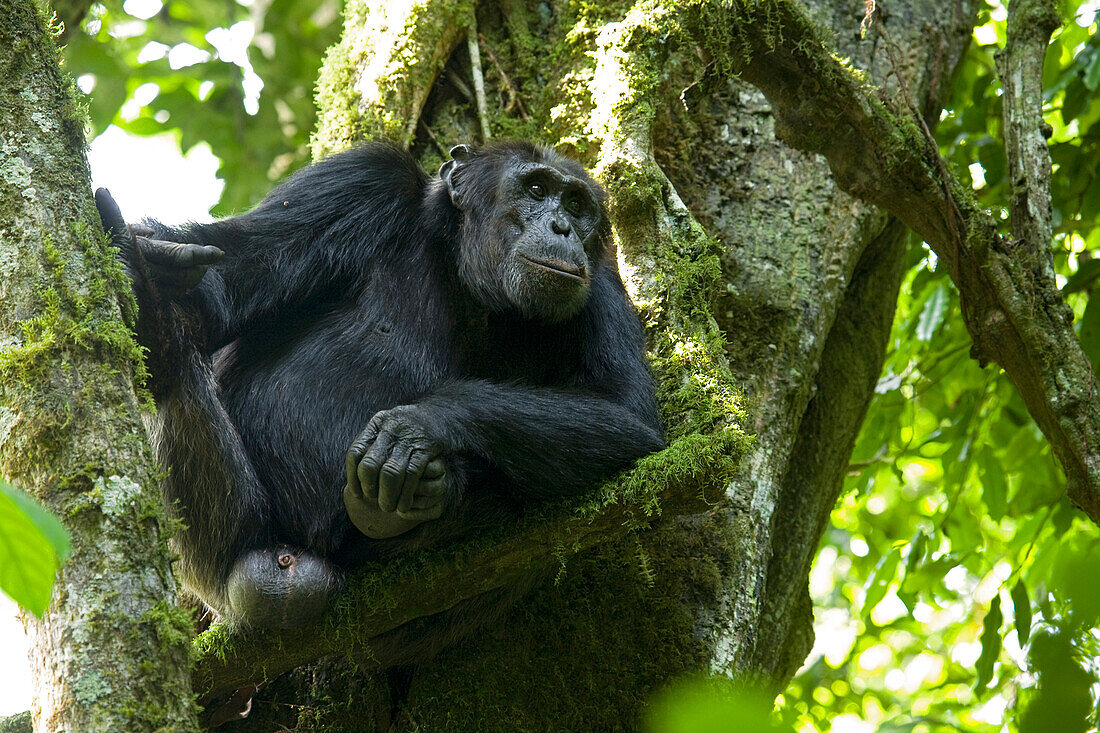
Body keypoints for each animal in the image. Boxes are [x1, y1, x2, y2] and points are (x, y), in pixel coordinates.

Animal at [94, 140, 660, 629]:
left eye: (577, 204)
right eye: (536, 189)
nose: (563, 226)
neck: (468, 277)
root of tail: (290, 563)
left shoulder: (602, 289)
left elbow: (628, 419)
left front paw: (418, 426)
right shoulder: (356, 184)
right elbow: (220, 289)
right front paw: (153, 261)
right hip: (223, 547)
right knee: (176, 362)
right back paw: (153, 314)